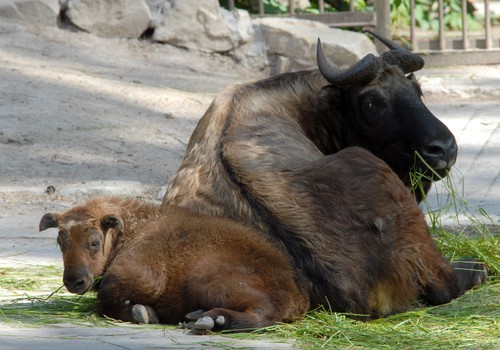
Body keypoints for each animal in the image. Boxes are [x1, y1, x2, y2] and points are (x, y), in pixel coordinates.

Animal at [38, 197, 308, 330]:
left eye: (94, 242)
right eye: (60, 241)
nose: (74, 281)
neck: (132, 228)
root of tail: (297, 292)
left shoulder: (144, 277)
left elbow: (104, 300)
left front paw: (142, 313)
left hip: (204, 280)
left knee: (263, 311)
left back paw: (211, 320)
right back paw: (200, 316)